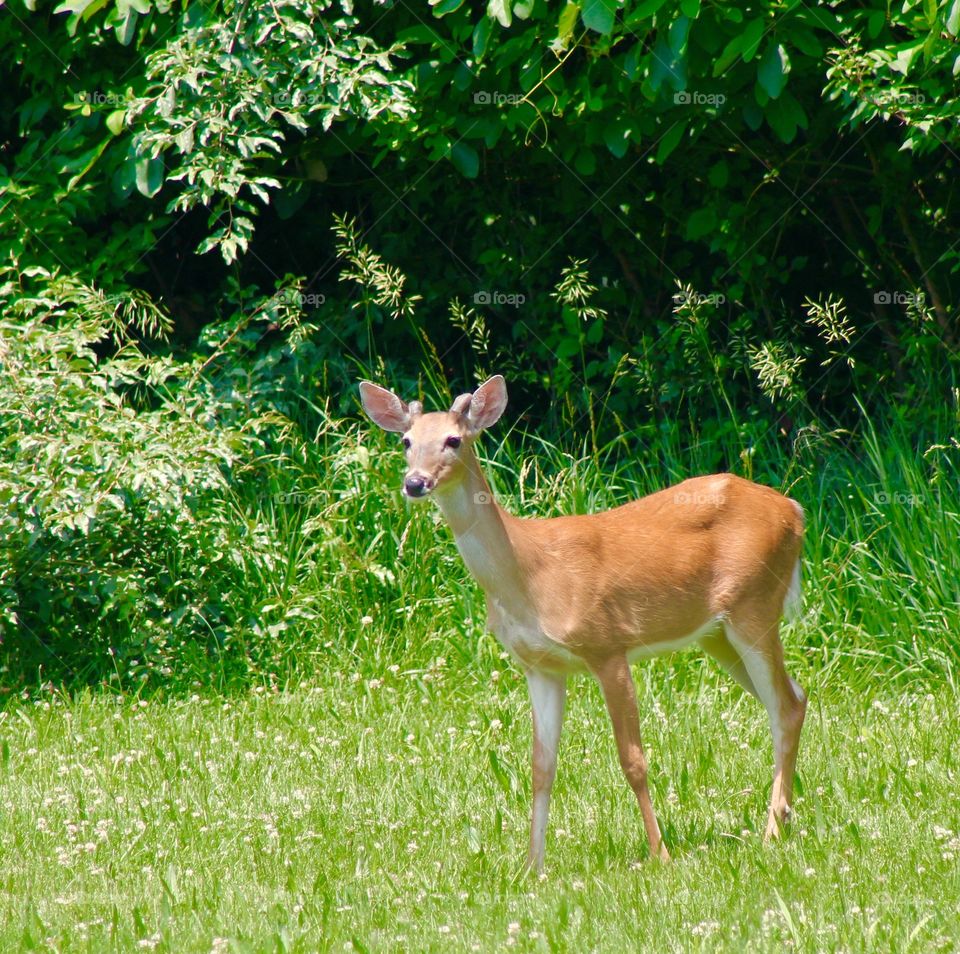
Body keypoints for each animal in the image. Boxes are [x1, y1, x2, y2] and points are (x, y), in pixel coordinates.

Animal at [359, 374, 807, 871]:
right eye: (406, 441)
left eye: (454, 440)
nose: (415, 483)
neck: (529, 576)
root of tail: (794, 509)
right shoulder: (540, 667)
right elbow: (541, 767)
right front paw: (531, 867)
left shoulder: (606, 644)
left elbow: (633, 760)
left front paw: (661, 855)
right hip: (717, 632)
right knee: (791, 698)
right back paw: (784, 818)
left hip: (755, 604)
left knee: (785, 704)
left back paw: (771, 832)